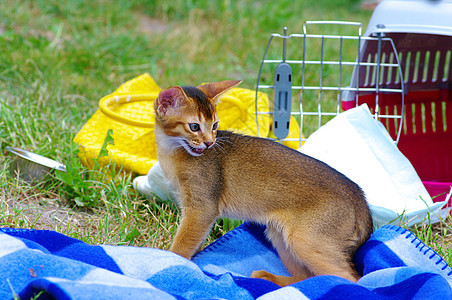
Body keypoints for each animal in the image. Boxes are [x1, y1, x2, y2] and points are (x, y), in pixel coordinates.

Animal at [154, 79, 372, 286]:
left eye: (215, 125)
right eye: (194, 126)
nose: (210, 142)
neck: (172, 153)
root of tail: (359, 198)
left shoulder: (201, 209)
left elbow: (182, 246)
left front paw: (171, 264)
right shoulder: (194, 213)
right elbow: (194, 244)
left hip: (304, 241)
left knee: (351, 278)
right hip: (280, 236)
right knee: (307, 276)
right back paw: (268, 278)